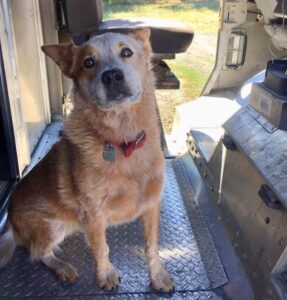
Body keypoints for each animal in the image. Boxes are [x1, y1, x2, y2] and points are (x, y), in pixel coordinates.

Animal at [0, 28, 173, 292]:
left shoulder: (151, 205)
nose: (112, 75)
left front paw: (158, 276)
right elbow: (102, 248)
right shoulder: (93, 214)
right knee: (38, 252)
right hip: (53, 225)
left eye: (126, 52)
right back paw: (63, 267)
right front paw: (105, 274)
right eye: (88, 62)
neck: (122, 140)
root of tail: (9, 220)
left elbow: (151, 246)